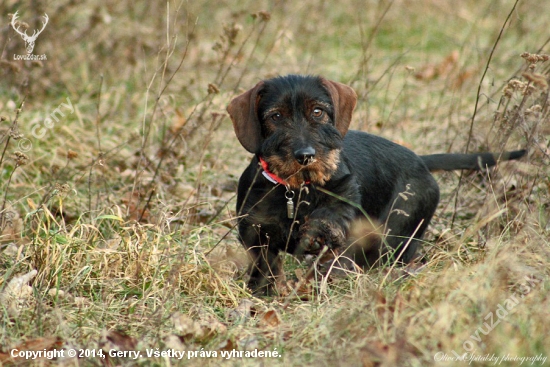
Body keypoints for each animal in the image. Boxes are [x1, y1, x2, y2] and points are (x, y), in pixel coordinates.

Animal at [227, 75, 528, 296]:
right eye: (275, 116)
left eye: (318, 111)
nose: (305, 156)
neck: (295, 189)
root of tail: (421, 161)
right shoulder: (256, 232)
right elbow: (263, 266)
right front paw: (262, 293)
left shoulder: (344, 193)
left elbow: (333, 212)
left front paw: (319, 234)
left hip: (395, 236)